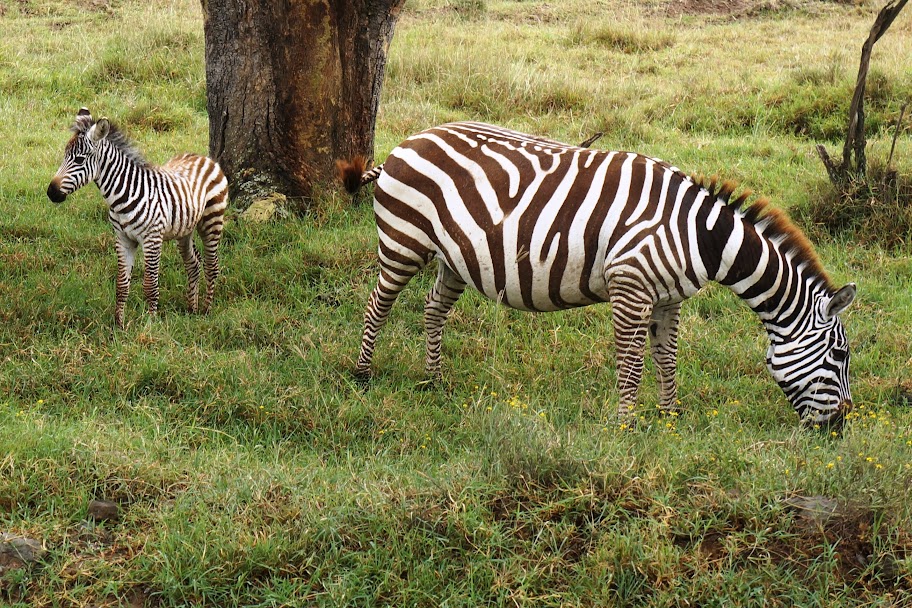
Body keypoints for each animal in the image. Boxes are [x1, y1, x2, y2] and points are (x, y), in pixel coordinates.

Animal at [48, 108, 230, 328]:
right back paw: (191, 309)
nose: (51, 193)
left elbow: (150, 284)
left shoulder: (151, 239)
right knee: (193, 263)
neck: (122, 196)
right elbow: (121, 284)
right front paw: (119, 325)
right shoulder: (123, 239)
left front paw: (150, 324)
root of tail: (204, 157)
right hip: (184, 228)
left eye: (79, 160)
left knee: (212, 266)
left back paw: (205, 311)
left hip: (212, 220)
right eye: (64, 156)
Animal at [338, 122, 860, 428]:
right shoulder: (630, 287)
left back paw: (434, 379)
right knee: (377, 304)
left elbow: (667, 358)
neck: (702, 236)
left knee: (432, 309)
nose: (840, 425)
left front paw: (669, 416)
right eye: (840, 354)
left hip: (453, 257)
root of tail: (407, 142)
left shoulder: (669, 298)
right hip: (404, 240)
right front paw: (625, 426)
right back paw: (363, 374)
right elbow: (630, 365)